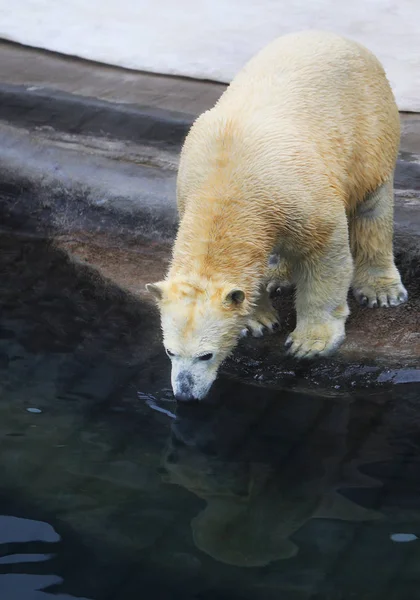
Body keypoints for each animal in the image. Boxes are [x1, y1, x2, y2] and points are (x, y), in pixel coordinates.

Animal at [147, 29, 406, 404]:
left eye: (205, 355)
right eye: (170, 351)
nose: (184, 394)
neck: (226, 181)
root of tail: (337, 36)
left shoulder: (299, 194)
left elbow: (326, 253)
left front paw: (309, 342)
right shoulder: (193, 191)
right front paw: (258, 319)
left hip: (369, 126)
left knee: (373, 205)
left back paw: (381, 290)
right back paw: (278, 275)